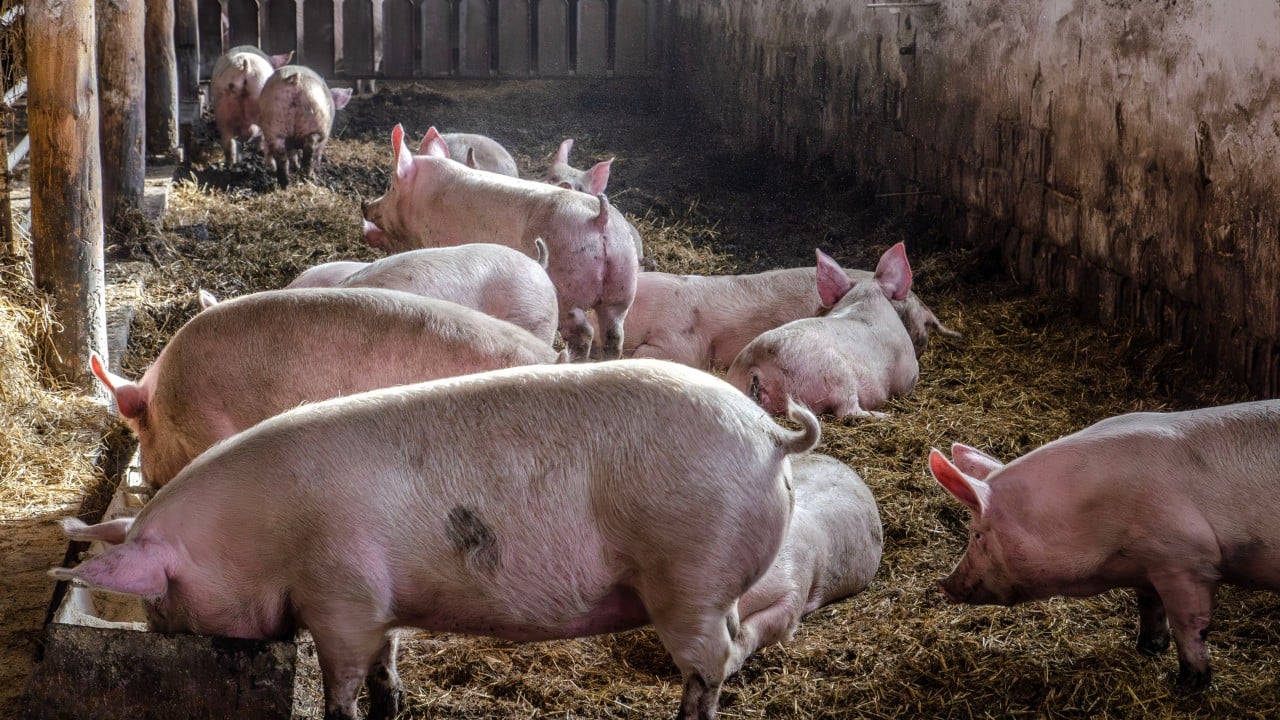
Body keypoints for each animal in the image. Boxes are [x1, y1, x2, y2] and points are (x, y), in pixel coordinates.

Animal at [53, 359, 822, 720]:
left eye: (162, 593)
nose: (166, 637)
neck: (259, 534)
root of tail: (772, 436)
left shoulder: (340, 598)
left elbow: (343, 684)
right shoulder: (382, 604)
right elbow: (388, 667)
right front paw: (395, 706)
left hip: (687, 578)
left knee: (708, 665)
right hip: (714, 584)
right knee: (732, 646)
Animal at [361, 124, 638, 361]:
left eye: (391, 187)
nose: (365, 205)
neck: (422, 199)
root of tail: (598, 218)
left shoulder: (433, 237)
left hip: (567, 288)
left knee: (584, 332)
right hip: (623, 283)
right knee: (614, 334)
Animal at [726, 243, 920, 420]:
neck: (865, 300)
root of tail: (754, 362)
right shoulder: (909, 371)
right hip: (835, 374)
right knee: (847, 413)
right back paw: (884, 416)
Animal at [929, 400, 1280, 688]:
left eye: (976, 535)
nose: (943, 585)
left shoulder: (1186, 561)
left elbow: (1189, 625)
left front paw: (1187, 683)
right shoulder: (1146, 565)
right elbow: (1149, 606)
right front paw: (1147, 648)